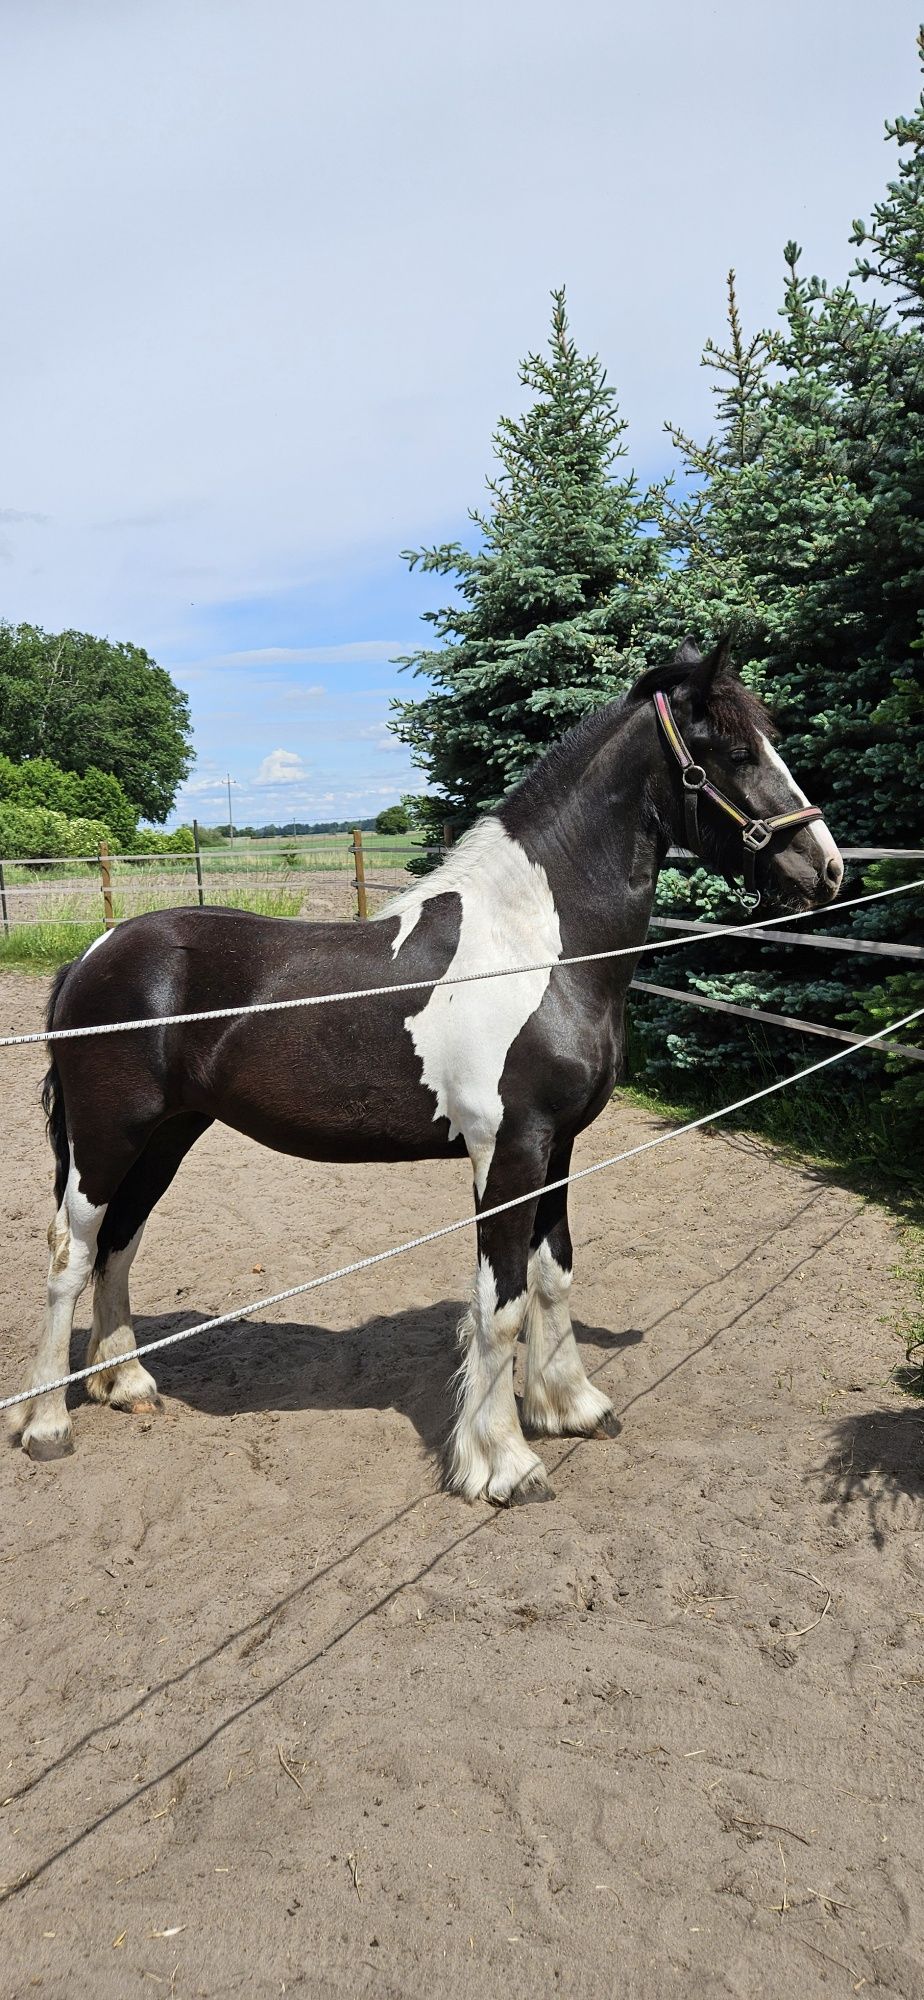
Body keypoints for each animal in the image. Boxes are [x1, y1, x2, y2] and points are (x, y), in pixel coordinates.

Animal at [16, 640, 844, 1504]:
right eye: (736, 751)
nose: (827, 869)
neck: (534, 949)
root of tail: (95, 954)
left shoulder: (559, 1147)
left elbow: (553, 1275)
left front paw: (571, 1406)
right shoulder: (508, 1153)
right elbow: (500, 1303)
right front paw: (504, 1462)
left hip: (168, 1134)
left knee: (121, 1240)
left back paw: (127, 1383)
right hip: (108, 1138)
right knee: (72, 1251)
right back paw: (48, 1425)